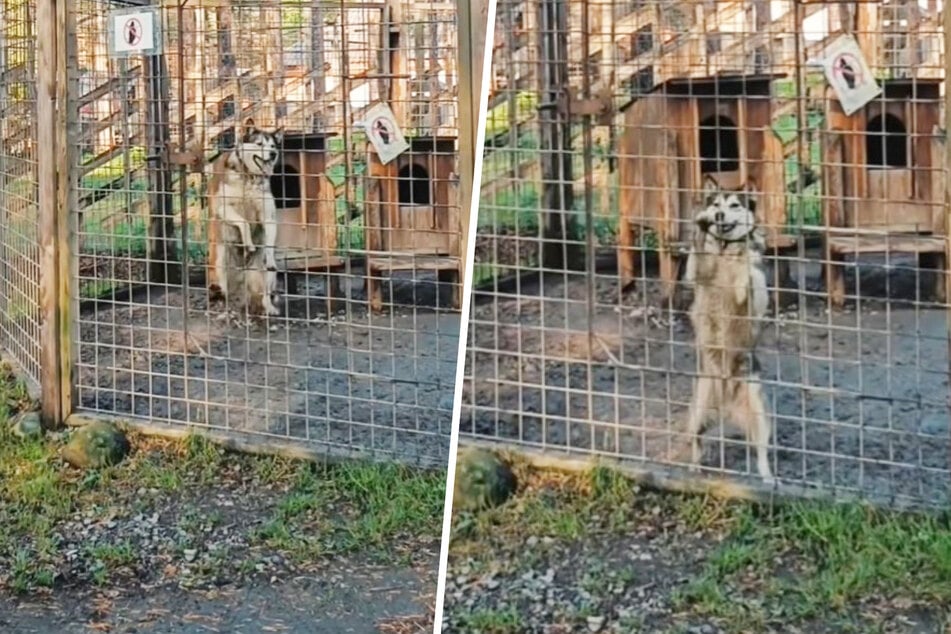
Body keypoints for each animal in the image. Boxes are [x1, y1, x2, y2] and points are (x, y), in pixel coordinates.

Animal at [208, 117, 282, 314]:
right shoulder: (223, 207)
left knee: (265, 292)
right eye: (259, 144)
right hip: (221, 261)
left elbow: (269, 242)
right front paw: (248, 244)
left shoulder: (268, 217)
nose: (273, 154)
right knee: (225, 290)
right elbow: (244, 222)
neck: (249, 176)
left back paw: (269, 308)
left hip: (264, 275)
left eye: (273, 145)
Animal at [684, 175, 772, 482]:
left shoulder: (757, 290)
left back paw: (768, 478)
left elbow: (748, 272)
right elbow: (697, 251)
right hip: (698, 409)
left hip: (758, 411)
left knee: (761, 450)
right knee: (696, 439)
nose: (719, 215)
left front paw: (742, 274)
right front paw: (700, 225)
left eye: (735, 205)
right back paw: (693, 468)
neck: (724, 251)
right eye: (715, 205)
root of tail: (725, 400)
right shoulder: (695, 273)